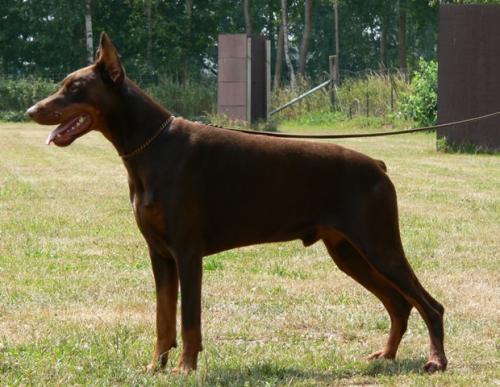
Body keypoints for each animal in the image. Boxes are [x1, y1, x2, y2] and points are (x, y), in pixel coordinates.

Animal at [25, 34, 448, 376]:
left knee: (429, 305)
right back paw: (387, 355)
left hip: (379, 245)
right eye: (64, 85)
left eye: (75, 87)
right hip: (348, 252)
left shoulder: (187, 252)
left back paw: (436, 361)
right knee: (399, 304)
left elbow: (188, 319)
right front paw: (155, 365)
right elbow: (163, 318)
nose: (31, 111)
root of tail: (377, 165)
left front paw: (185, 368)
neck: (152, 146)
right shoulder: (159, 254)